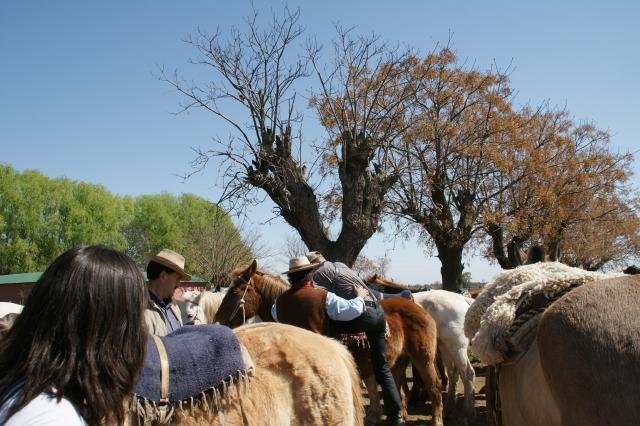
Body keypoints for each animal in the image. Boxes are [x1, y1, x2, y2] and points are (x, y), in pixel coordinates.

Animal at [212, 260, 442, 426]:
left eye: (235, 292)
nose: (217, 321)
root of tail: (420, 308)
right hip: (399, 362)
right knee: (400, 391)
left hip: (423, 359)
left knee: (435, 388)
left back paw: (436, 420)